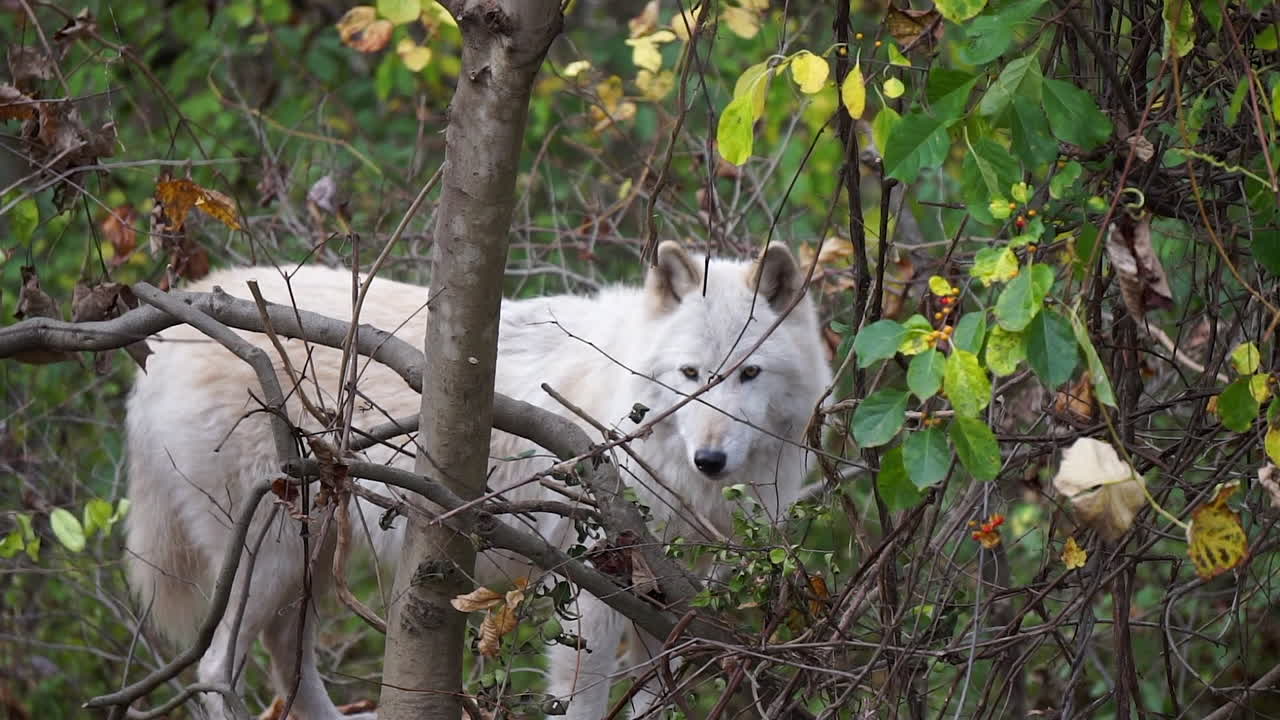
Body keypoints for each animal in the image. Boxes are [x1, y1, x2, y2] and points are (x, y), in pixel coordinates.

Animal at [124, 241, 832, 719]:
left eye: (748, 374)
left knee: (285, 660)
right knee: (216, 663)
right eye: (691, 375)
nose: (710, 459)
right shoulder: (597, 597)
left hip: (308, 559)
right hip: (269, 555)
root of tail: (182, 320)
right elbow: (584, 700)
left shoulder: (671, 608)